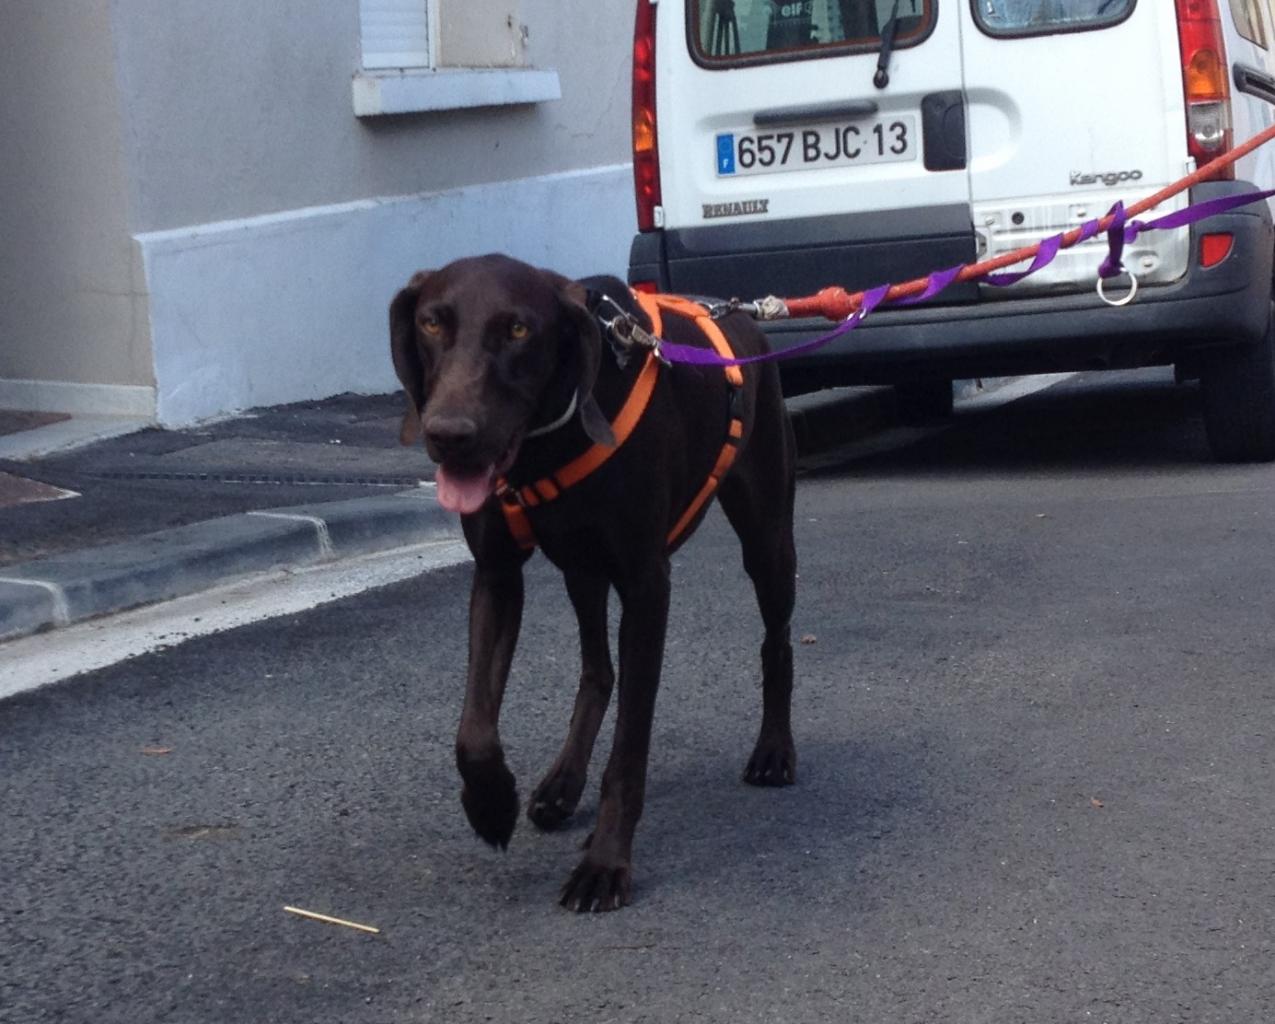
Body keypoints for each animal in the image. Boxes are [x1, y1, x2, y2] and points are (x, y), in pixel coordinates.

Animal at [387, 256, 795, 913]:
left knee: (776, 640)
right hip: (583, 572)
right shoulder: (497, 574)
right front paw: (491, 803)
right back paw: (562, 782)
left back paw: (775, 750)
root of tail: (742, 317)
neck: (547, 444)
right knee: (597, 670)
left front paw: (605, 864)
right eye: (431, 323)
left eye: (519, 330)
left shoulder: (646, 586)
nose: (450, 434)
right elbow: (473, 729)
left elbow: (628, 752)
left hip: (766, 538)